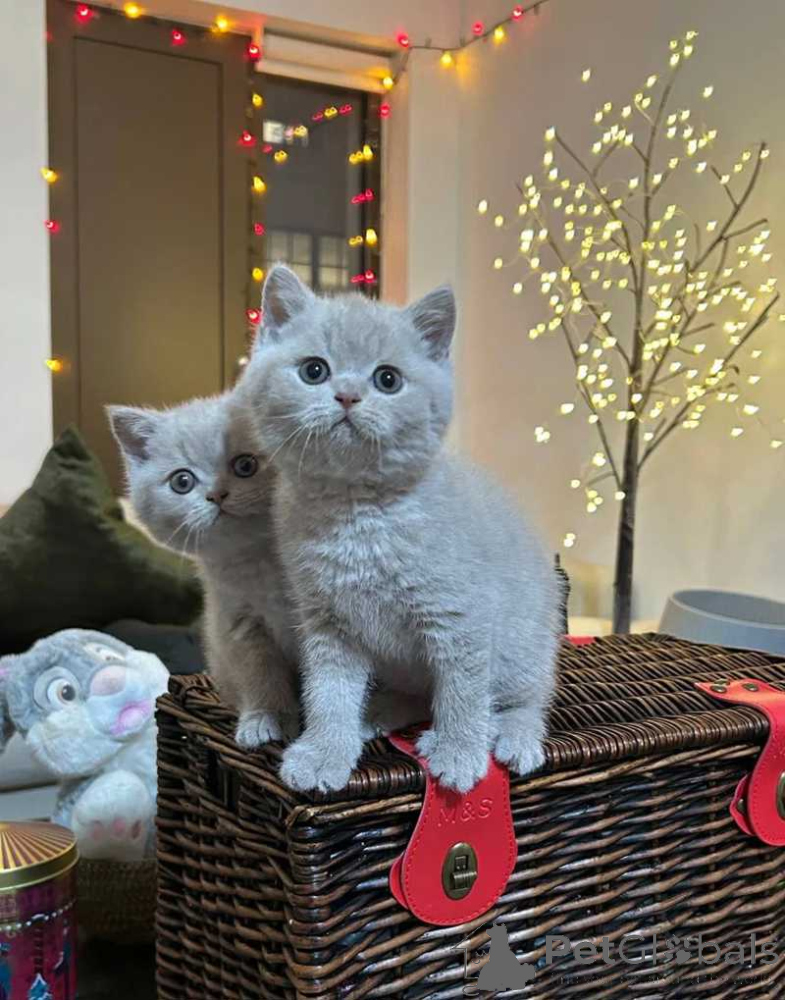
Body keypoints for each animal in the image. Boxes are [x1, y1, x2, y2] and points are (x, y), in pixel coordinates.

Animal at [107, 393, 300, 747]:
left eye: (245, 465)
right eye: (182, 481)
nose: (216, 494)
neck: (259, 563)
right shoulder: (239, 623)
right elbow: (260, 675)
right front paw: (264, 720)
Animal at [237, 264, 559, 793]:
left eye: (387, 379)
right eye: (314, 371)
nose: (347, 395)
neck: (357, 515)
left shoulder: (459, 615)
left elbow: (462, 690)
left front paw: (459, 751)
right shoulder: (328, 624)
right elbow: (328, 693)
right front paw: (326, 750)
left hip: (522, 647)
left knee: (528, 698)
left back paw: (512, 736)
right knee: (417, 695)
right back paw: (376, 713)